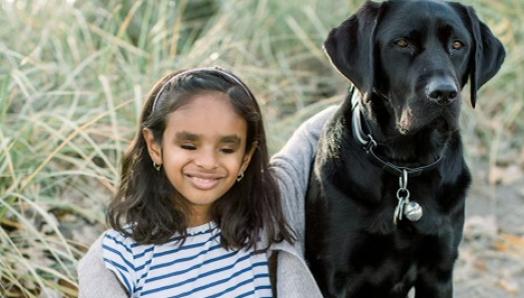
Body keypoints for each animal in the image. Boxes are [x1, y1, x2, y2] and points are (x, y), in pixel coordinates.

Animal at [304, 1, 506, 296]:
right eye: (402, 43)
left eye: (458, 44)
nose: (444, 93)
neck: (406, 166)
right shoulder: (334, 274)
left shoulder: (439, 271)